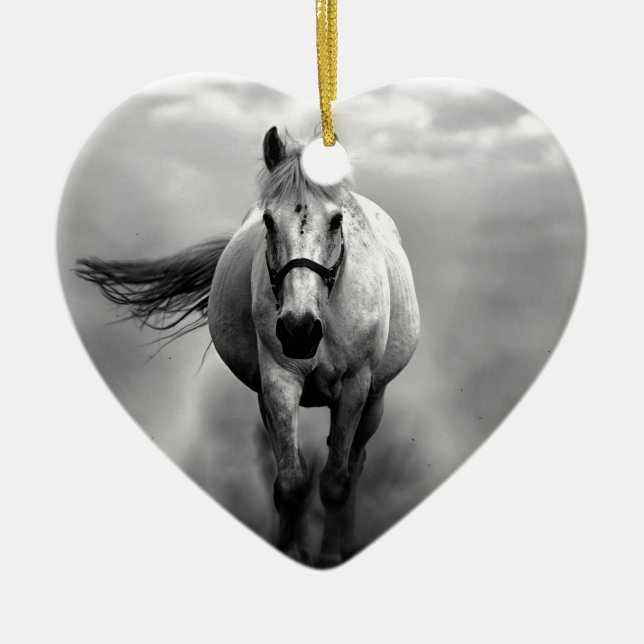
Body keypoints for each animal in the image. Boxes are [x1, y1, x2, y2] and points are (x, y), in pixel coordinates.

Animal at [76, 126, 420, 566]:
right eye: (269, 221)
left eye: (337, 220)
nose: (298, 330)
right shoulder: (278, 381)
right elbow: (291, 483)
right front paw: (293, 550)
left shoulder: (355, 386)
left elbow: (335, 484)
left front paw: (328, 558)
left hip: (375, 399)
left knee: (355, 464)